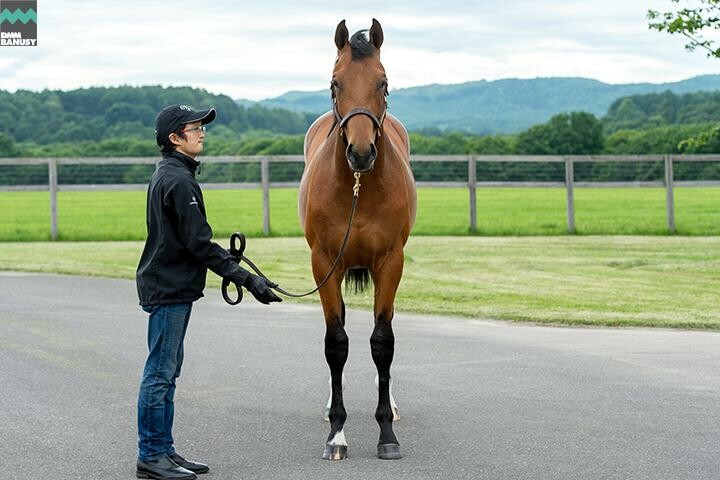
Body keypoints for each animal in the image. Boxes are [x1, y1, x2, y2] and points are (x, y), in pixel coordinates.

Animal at [296, 19, 416, 462]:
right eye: (335, 83)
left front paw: (386, 435)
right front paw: (337, 435)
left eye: (383, 82)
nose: (361, 152)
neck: (358, 188)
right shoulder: (324, 263)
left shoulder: (391, 263)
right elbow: (337, 343)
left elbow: (383, 342)